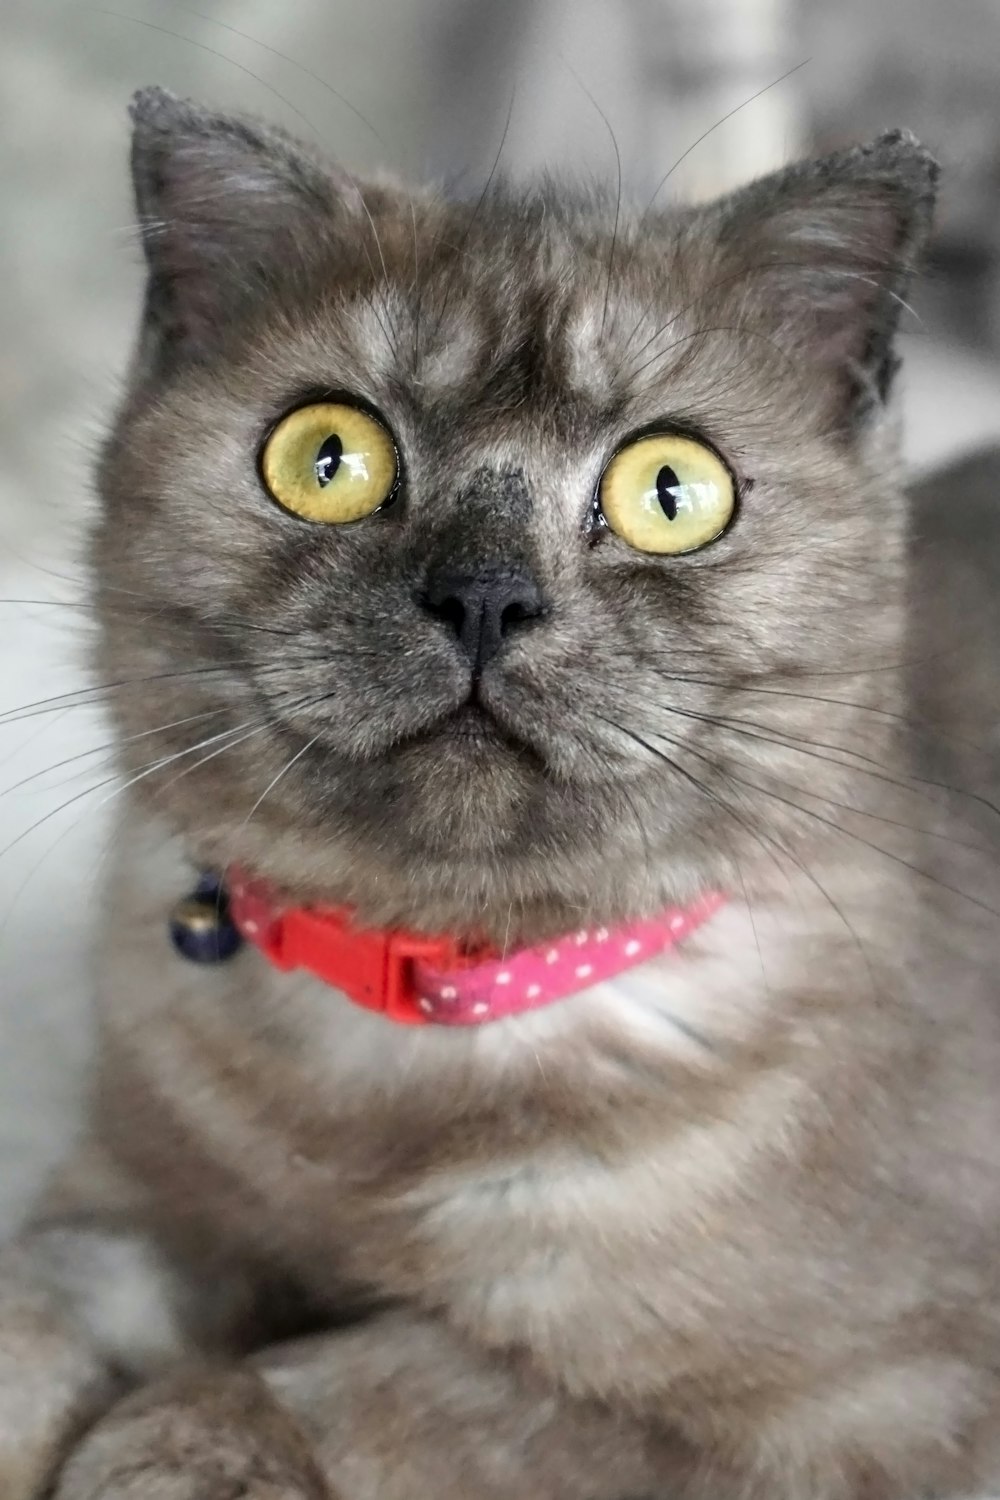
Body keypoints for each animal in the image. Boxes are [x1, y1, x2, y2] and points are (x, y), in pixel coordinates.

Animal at [1, 82, 1000, 1500]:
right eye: (326, 457)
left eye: (671, 491)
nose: (483, 593)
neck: (418, 1023)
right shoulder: (137, 1196)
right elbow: (36, 1301)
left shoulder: (867, 1406)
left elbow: (380, 1382)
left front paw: (165, 1454)